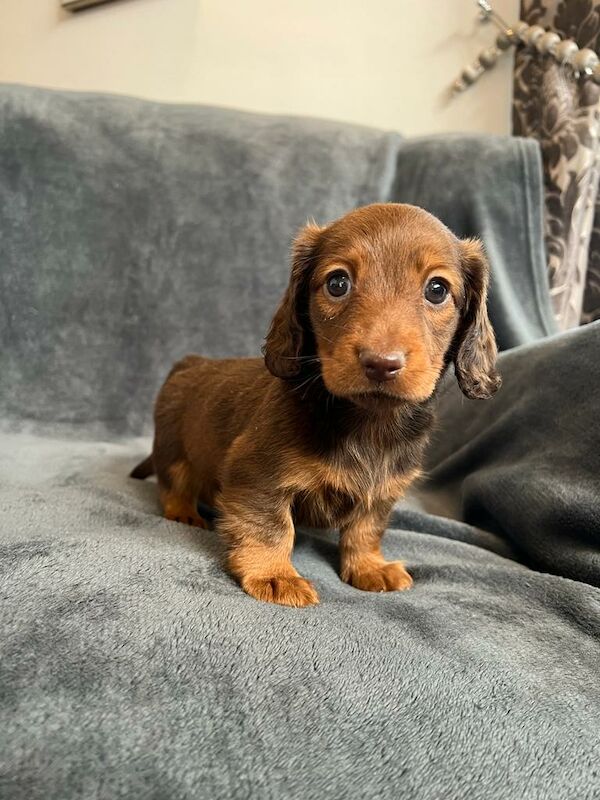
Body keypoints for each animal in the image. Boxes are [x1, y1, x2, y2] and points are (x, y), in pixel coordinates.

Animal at [132, 205, 502, 608]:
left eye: (437, 290)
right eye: (338, 283)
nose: (381, 363)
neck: (367, 422)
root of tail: (189, 363)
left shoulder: (383, 490)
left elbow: (366, 528)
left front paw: (370, 567)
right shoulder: (256, 475)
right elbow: (272, 526)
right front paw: (274, 574)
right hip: (173, 450)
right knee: (173, 483)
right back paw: (184, 512)